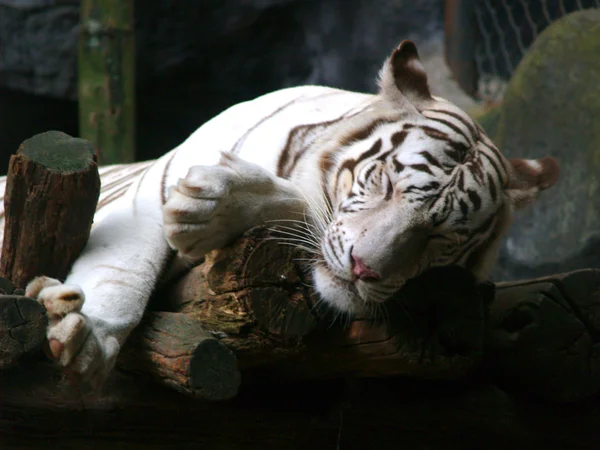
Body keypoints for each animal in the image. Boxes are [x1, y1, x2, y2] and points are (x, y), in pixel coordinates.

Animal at [1, 40, 556, 388]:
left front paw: (217, 206)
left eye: (441, 236)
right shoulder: (149, 193)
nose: (365, 271)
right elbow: (123, 271)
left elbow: (302, 202)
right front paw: (85, 336)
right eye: (384, 183)